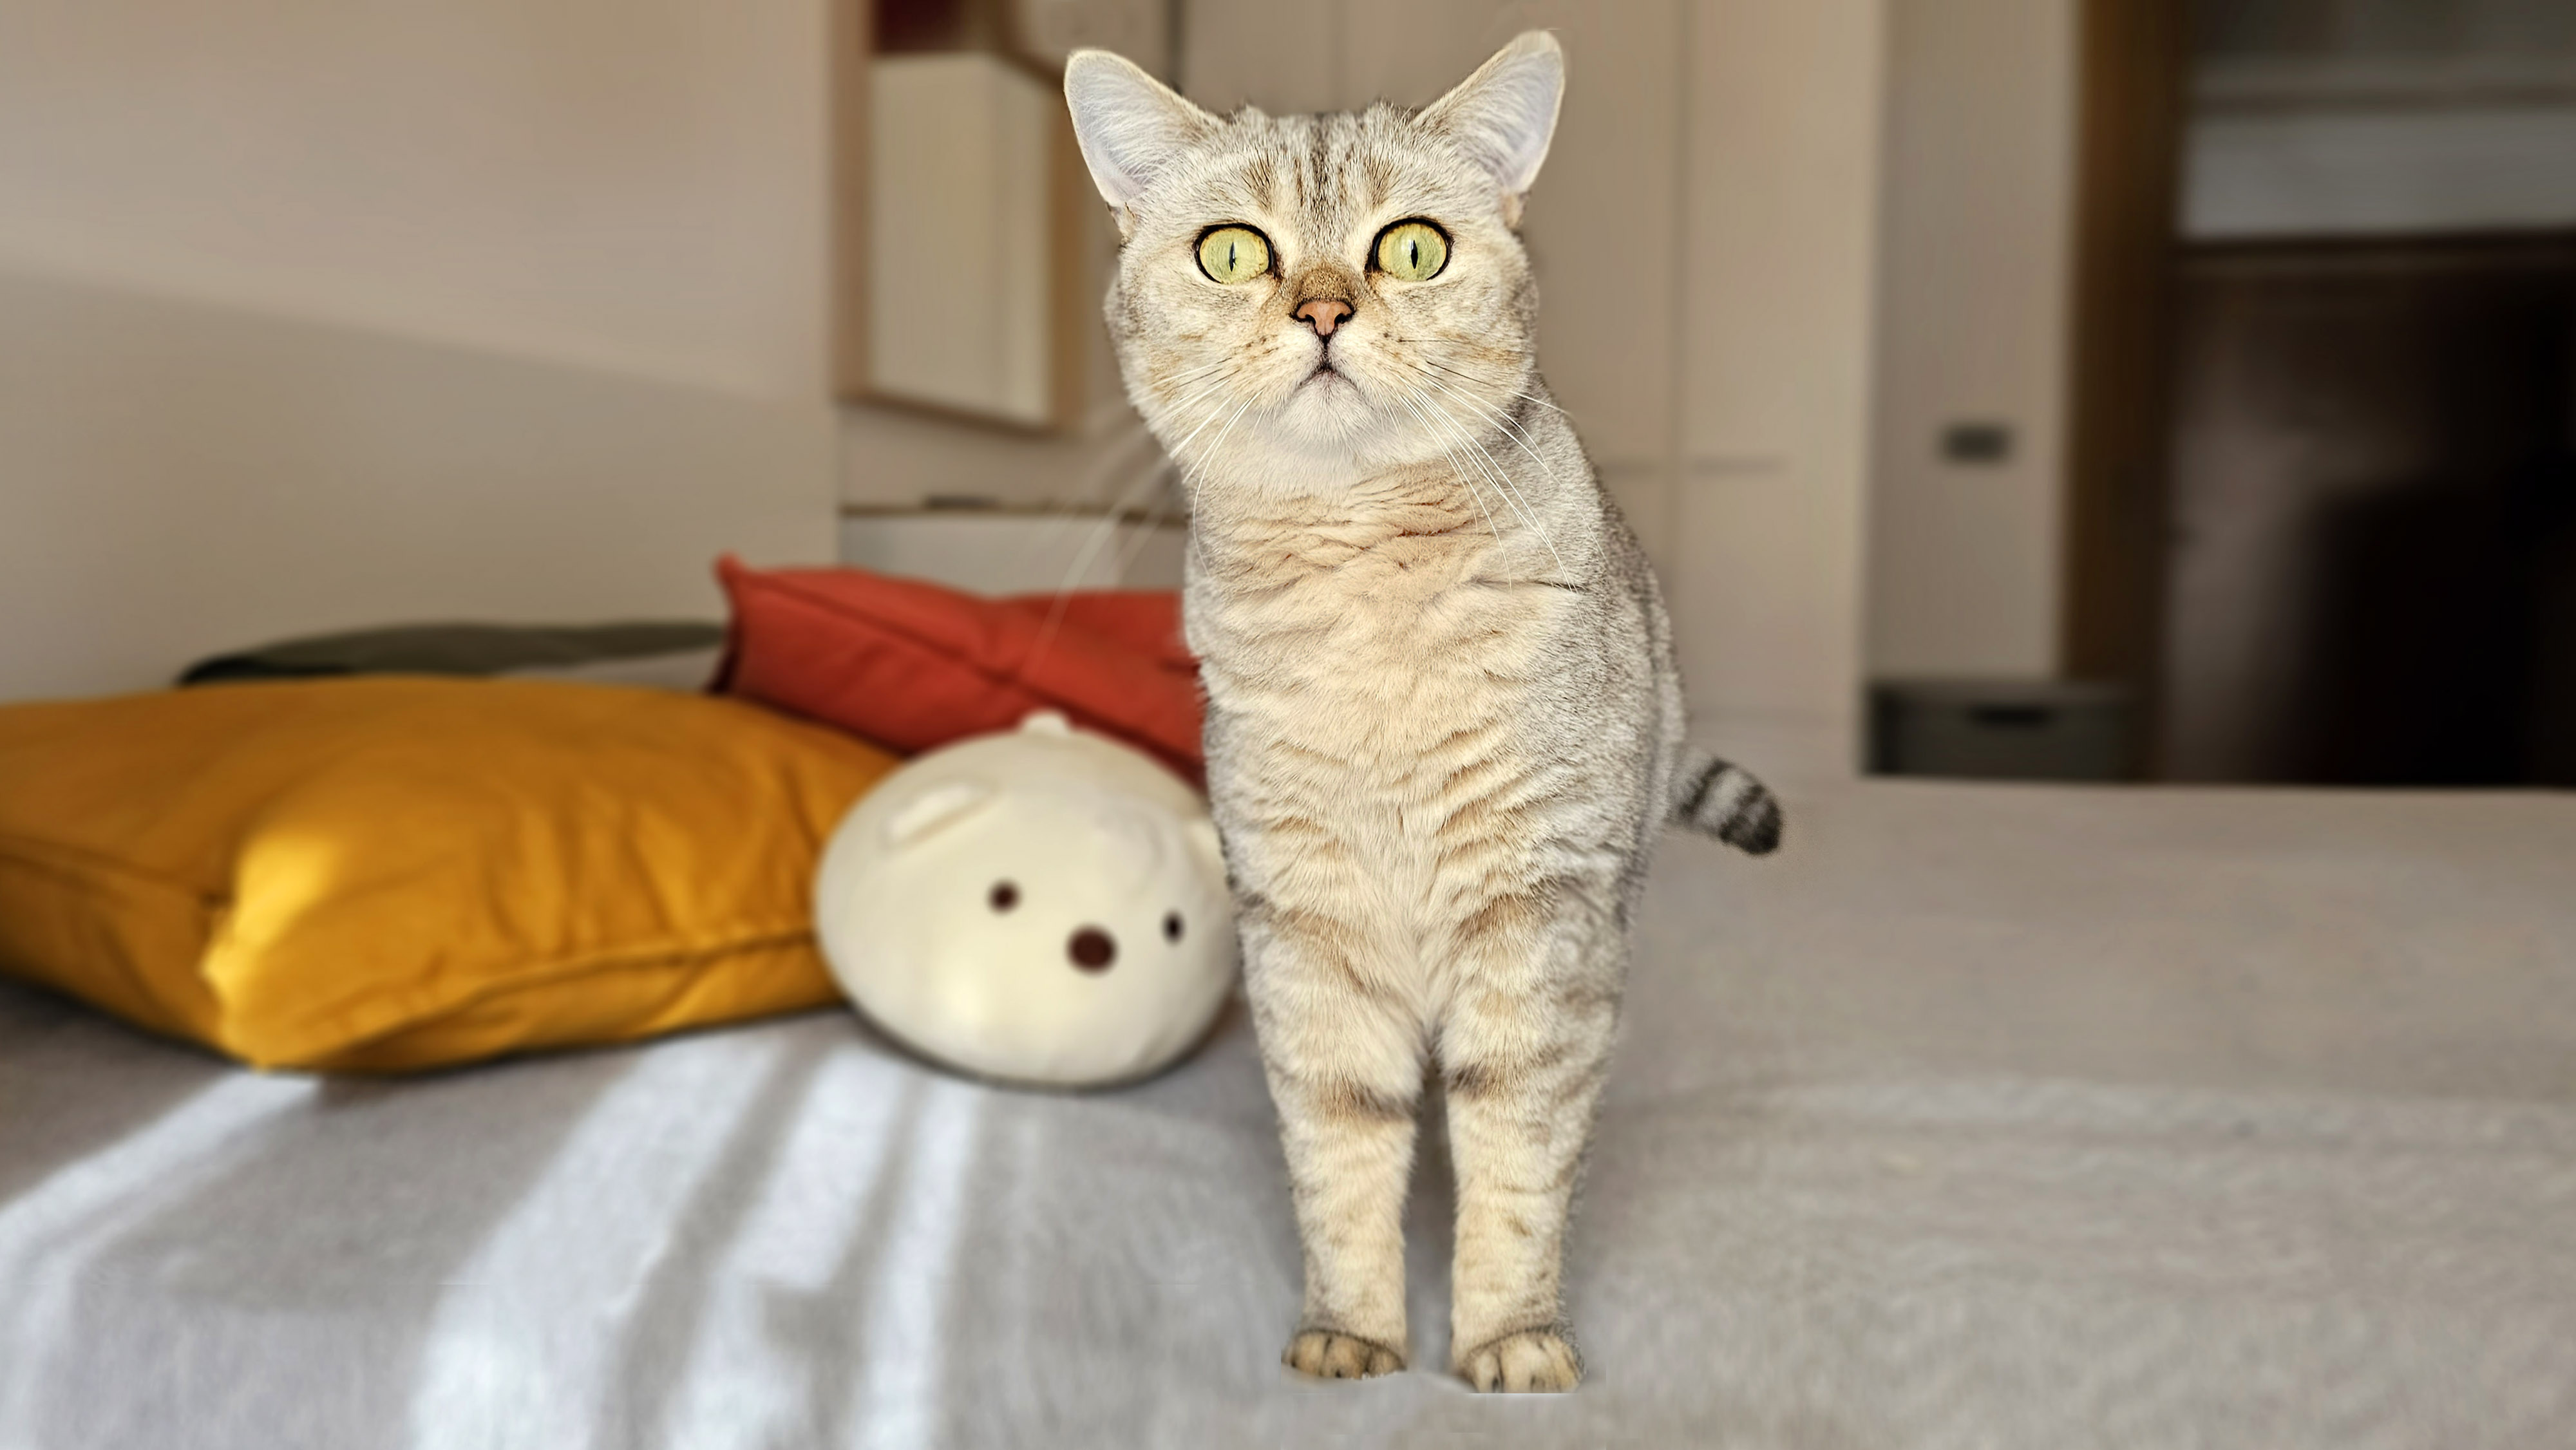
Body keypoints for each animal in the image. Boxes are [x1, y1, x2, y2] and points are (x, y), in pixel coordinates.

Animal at [1064, 31, 1780, 1393]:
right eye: (1231, 251)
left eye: (1410, 248)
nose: (1323, 311)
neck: (1365, 610)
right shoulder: (1305, 928)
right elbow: (1339, 1149)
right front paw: (1353, 1331)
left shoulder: (1539, 917)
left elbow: (1518, 1155)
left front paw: (1508, 1338)